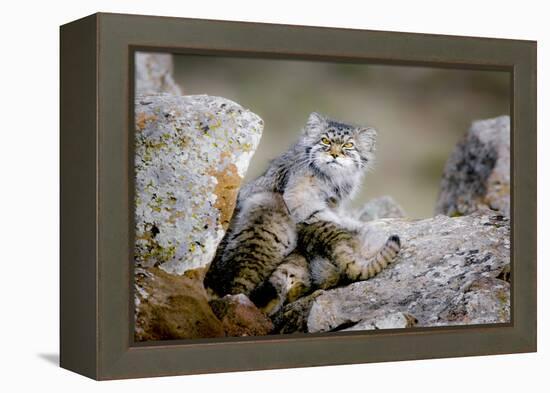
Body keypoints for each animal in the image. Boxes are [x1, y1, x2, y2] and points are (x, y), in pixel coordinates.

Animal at [205, 112, 404, 314]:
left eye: (348, 145)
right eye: (325, 140)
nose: (334, 154)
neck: (332, 178)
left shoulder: (334, 203)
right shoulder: (300, 196)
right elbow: (321, 215)